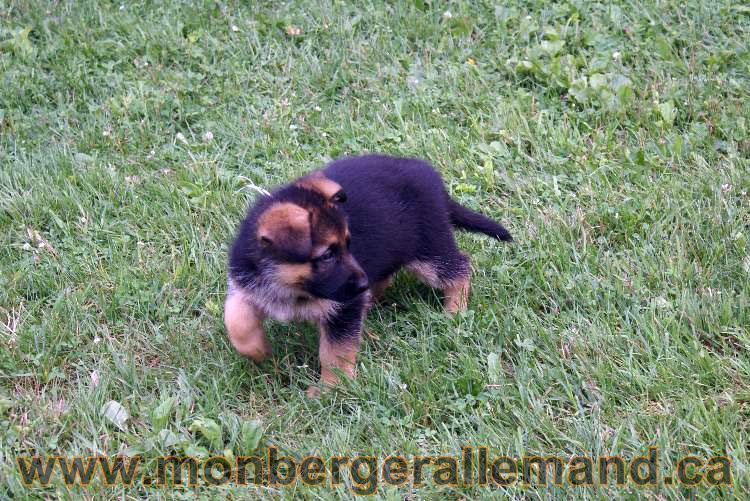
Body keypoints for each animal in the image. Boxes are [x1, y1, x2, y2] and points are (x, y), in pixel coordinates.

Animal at [226, 153, 516, 394]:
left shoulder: (344, 308)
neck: (291, 285)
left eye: (348, 244)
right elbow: (236, 319)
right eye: (327, 255)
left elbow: (335, 353)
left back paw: (454, 311)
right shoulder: (248, 287)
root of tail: (429, 176)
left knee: (460, 267)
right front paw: (257, 350)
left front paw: (331, 388)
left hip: (427, 251)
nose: (363, 283)